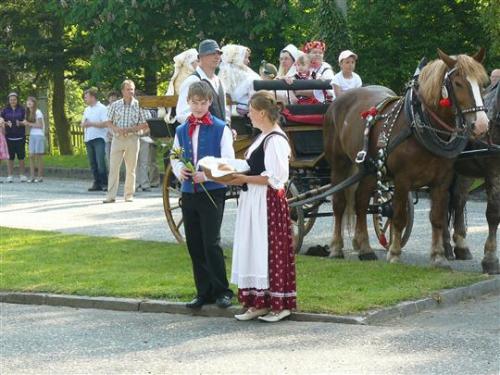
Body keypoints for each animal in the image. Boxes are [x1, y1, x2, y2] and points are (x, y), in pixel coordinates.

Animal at [324, 49, 488, 268]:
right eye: (458, 83)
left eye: (482, 83)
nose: (482, 124)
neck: (420, 124)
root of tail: (337, 103)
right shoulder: (402, 179)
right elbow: (399, 216)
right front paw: (394, 253)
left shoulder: (442, 180)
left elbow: (437, 217)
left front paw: (438, 256)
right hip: (339, 163)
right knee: (339, 203)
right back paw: (336, 247)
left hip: (369, 169)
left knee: (360, 201)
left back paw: (365, 248)